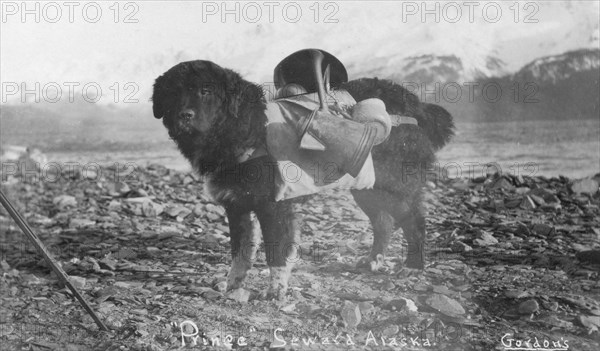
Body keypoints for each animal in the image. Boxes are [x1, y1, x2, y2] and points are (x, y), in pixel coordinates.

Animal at [154, 60, 454, 300]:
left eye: (205, 91)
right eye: (172, 93)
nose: (184, 115)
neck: (244, 129)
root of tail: (413, 103)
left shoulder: (274, 206)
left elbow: (276, 254)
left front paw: (275, 291)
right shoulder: (237, 206)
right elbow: (240, 253)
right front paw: (233, 286)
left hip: (395, 185)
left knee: (414, 222)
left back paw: (413, 267)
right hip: (367, 186)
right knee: (384, 224)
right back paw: (372, 261)